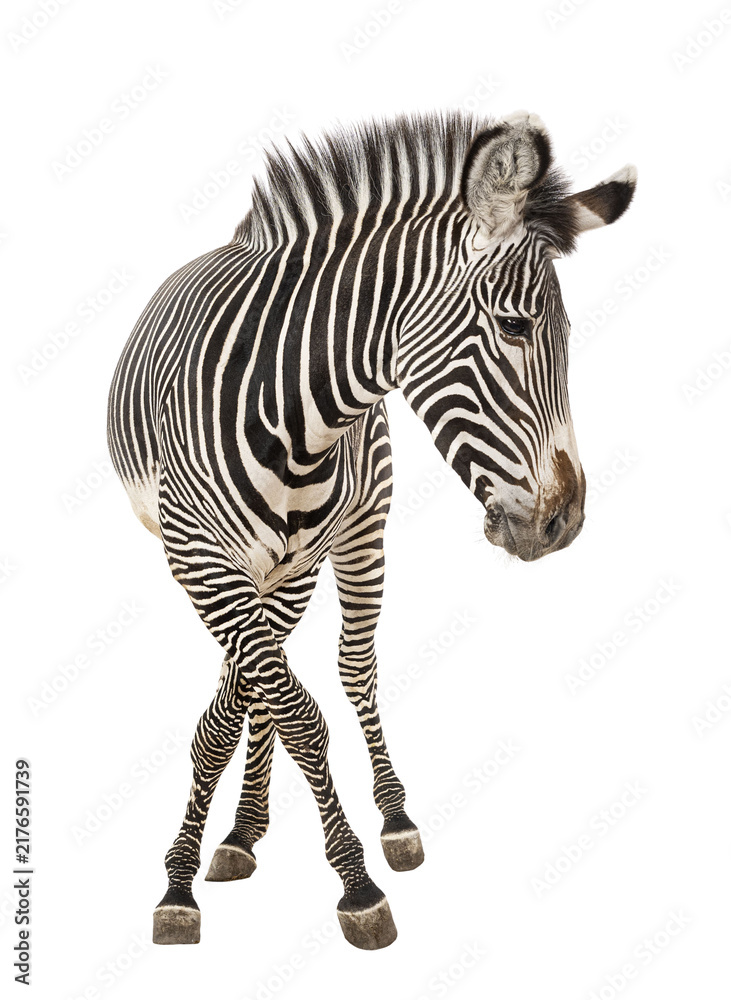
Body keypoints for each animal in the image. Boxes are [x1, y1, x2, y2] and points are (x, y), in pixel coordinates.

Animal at [107, 110, 636, 950]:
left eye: (567, 330)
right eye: (515, 326)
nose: (564, 520)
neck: (290, 408)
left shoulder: (283, 562)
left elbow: (257, 701)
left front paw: (351, 874)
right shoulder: (198, 559)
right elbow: (278, 706)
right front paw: (186, 876)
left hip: (342, 541)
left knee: (353, 669)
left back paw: (374, 819)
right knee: (274, 677)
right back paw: (240, 832)